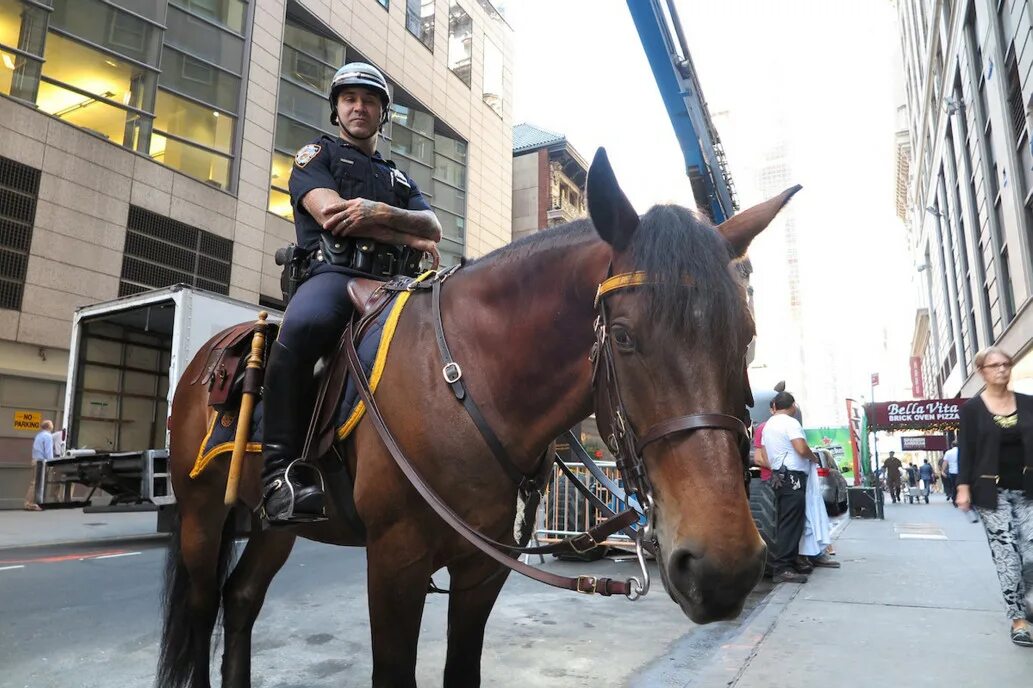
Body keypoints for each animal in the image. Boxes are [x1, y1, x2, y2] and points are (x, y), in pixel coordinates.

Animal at [154, 149, 797, 685]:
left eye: (745, 338)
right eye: (624, 336)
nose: (724, 568)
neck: (466, 382)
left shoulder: (483, 569)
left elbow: (462, 670)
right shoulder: (395, 562)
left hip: (273, 528)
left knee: (240, 601)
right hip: (202, 514)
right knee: (203, 609)